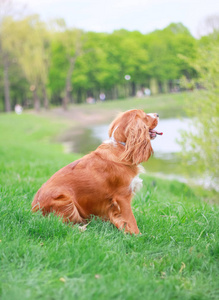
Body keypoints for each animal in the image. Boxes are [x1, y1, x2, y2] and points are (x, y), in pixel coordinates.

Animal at [31, 109, 162, 233]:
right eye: (145, 115)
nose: (157, 114)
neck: (122, 147)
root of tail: (32, 209)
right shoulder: (122, 197)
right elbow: (131, 220)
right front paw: (137, 235)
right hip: (66, 200)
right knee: (61, 223)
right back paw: (81, 228)